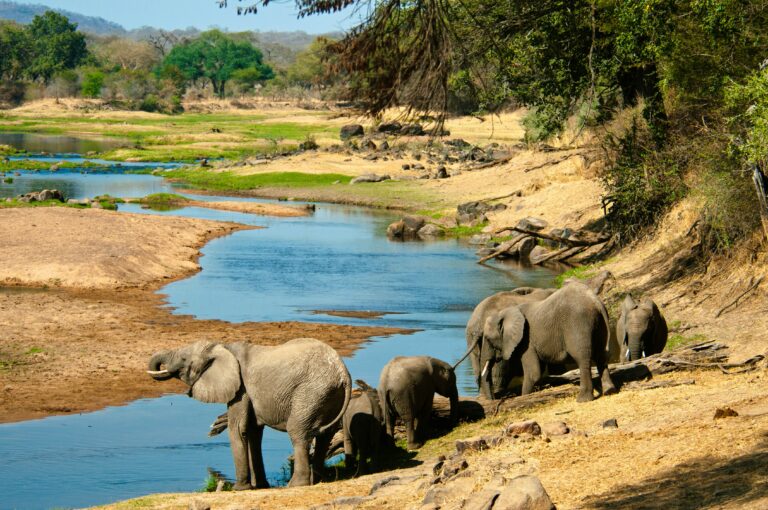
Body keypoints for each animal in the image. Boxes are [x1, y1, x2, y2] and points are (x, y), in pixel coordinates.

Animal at [146, 338, 352, 490]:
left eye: (183, 359)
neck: (222, 347)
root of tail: (343, 373)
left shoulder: (240, 388)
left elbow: (238, 428)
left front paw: (239, 489)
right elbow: (253, 431)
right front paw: (260, 486)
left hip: (311, 392)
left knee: (298, 433)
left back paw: (295, 485)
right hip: (328, 395)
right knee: (324, 436)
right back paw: (318, 480)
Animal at [486, 280, 616, 400]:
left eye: (488, 339)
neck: (507, 311)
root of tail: (595, 300)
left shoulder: (526, 341)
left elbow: (534, 373)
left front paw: (523, 397)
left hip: (577, 322)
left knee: (583, 357)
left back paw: (583, 400)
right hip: (600, 323)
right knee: (601, 355)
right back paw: (609, 391)